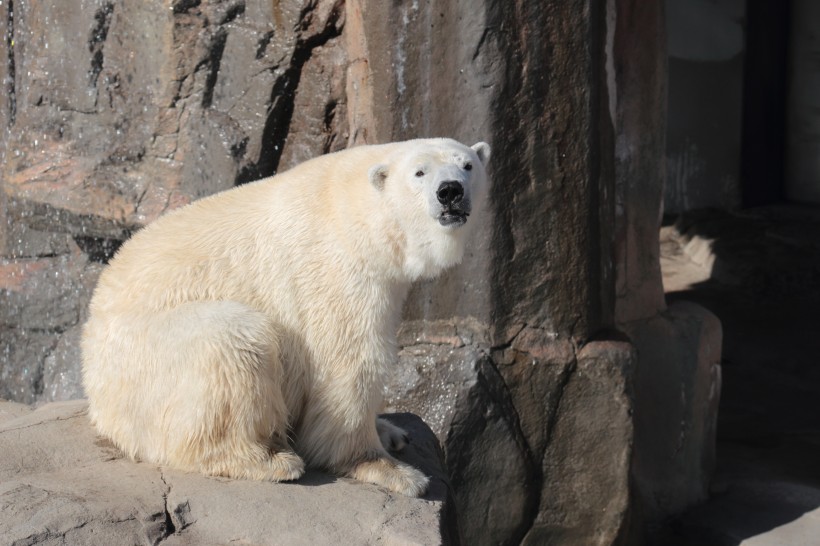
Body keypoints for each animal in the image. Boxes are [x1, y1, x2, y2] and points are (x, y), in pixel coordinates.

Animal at [82, 138, 490, 496]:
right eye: (420, 172)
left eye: (468, 165)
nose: (450, 191)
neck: (357, 213)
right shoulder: (336, 271)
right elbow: (349, 364)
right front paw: (391, 470)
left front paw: (391, 431)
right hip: (146, 355)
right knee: (234, 341)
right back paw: (271, 460)